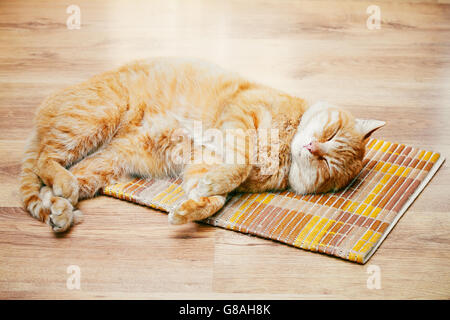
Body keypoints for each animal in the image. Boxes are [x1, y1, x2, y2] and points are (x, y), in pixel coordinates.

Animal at [18, 57, 384, 231]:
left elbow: (215, 198)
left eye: (327, 164)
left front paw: (189, 209)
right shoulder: (239, 116)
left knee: (52, 186)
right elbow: (239, 164)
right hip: (93, 120)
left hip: (105, 164)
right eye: (331, 133)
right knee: (44, 160)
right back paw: (61, 188)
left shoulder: (202, 162)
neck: (284, 147)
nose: (312, 148)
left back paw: (60, 211)